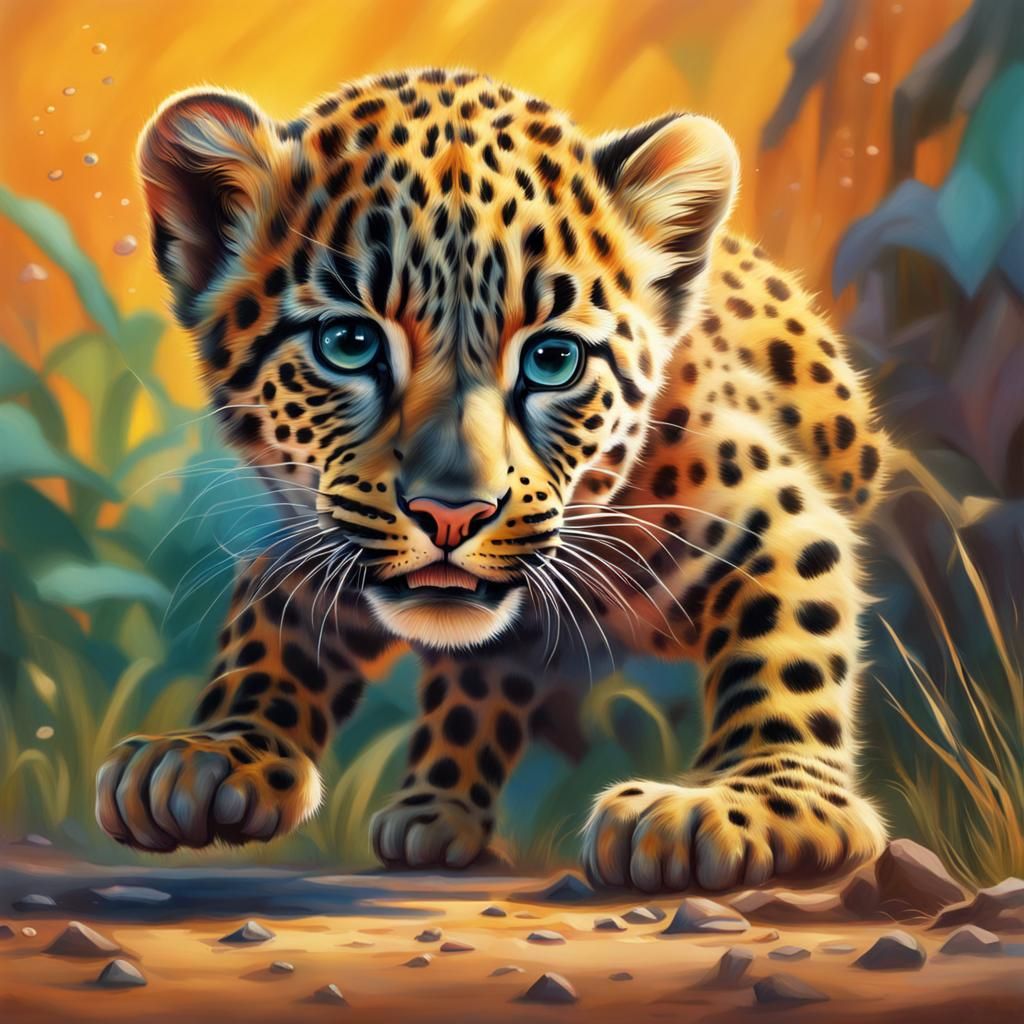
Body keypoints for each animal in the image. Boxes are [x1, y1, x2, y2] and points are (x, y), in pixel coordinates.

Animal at [95, 67, 891, 892]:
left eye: (553, 359)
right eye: (349, 343)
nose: (451, 514)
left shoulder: (771, 512)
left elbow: (790, 651)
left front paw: (744, 801)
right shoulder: (320, 536)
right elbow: (272, 634)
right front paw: (215, 753)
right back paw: (435, 811)